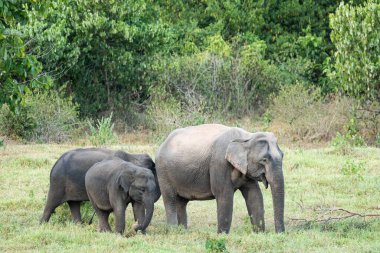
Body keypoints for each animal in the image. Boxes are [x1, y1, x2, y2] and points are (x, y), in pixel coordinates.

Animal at [155, 124, 284, 233]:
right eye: (264, 160)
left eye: (282, 156)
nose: (280, 233)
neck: (246, 137)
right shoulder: (219, 163)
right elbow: (224, 195)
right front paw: (222, 235)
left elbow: (254, 195)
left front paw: (259, 234)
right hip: (163, 172)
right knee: (170, 200)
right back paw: (173, 231)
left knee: (181, 202)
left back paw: (183, 232)